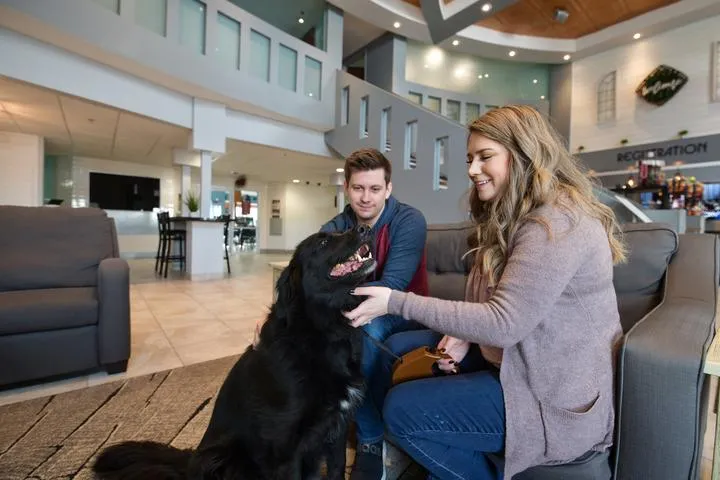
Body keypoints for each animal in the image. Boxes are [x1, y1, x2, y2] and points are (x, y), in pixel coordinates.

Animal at [93, 226, 376, 480]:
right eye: (323, 242)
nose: (365, 228)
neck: (322, 328)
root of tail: (190, 461)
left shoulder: (337, 429)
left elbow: (338, 469)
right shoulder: (285, 446)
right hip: (224, 458)